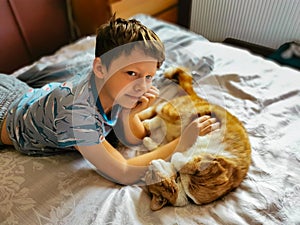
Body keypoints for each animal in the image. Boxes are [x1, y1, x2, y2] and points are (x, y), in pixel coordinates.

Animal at [141, 68, 251, 211]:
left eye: (152, 174)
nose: (149, 163)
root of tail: (198, 97)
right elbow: (168, 151)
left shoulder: (212, 165)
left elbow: (178, 158)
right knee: (158, 115)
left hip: (177, 113)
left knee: (159, 111)